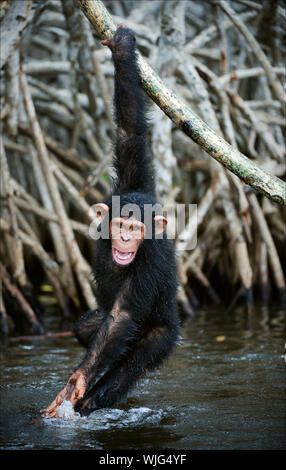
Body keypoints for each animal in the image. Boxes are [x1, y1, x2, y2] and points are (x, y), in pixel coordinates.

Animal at [43, 24, 180, 418]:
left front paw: (77, 381)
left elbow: (122, 317)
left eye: (137, 229)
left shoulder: (152, 259)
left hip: (164, 336)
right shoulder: (129, 183)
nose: (126, 239)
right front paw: (121, 52)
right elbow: (130, 132)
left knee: (130, 361)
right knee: (88, 327)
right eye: (121, 225)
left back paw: (95, 396)